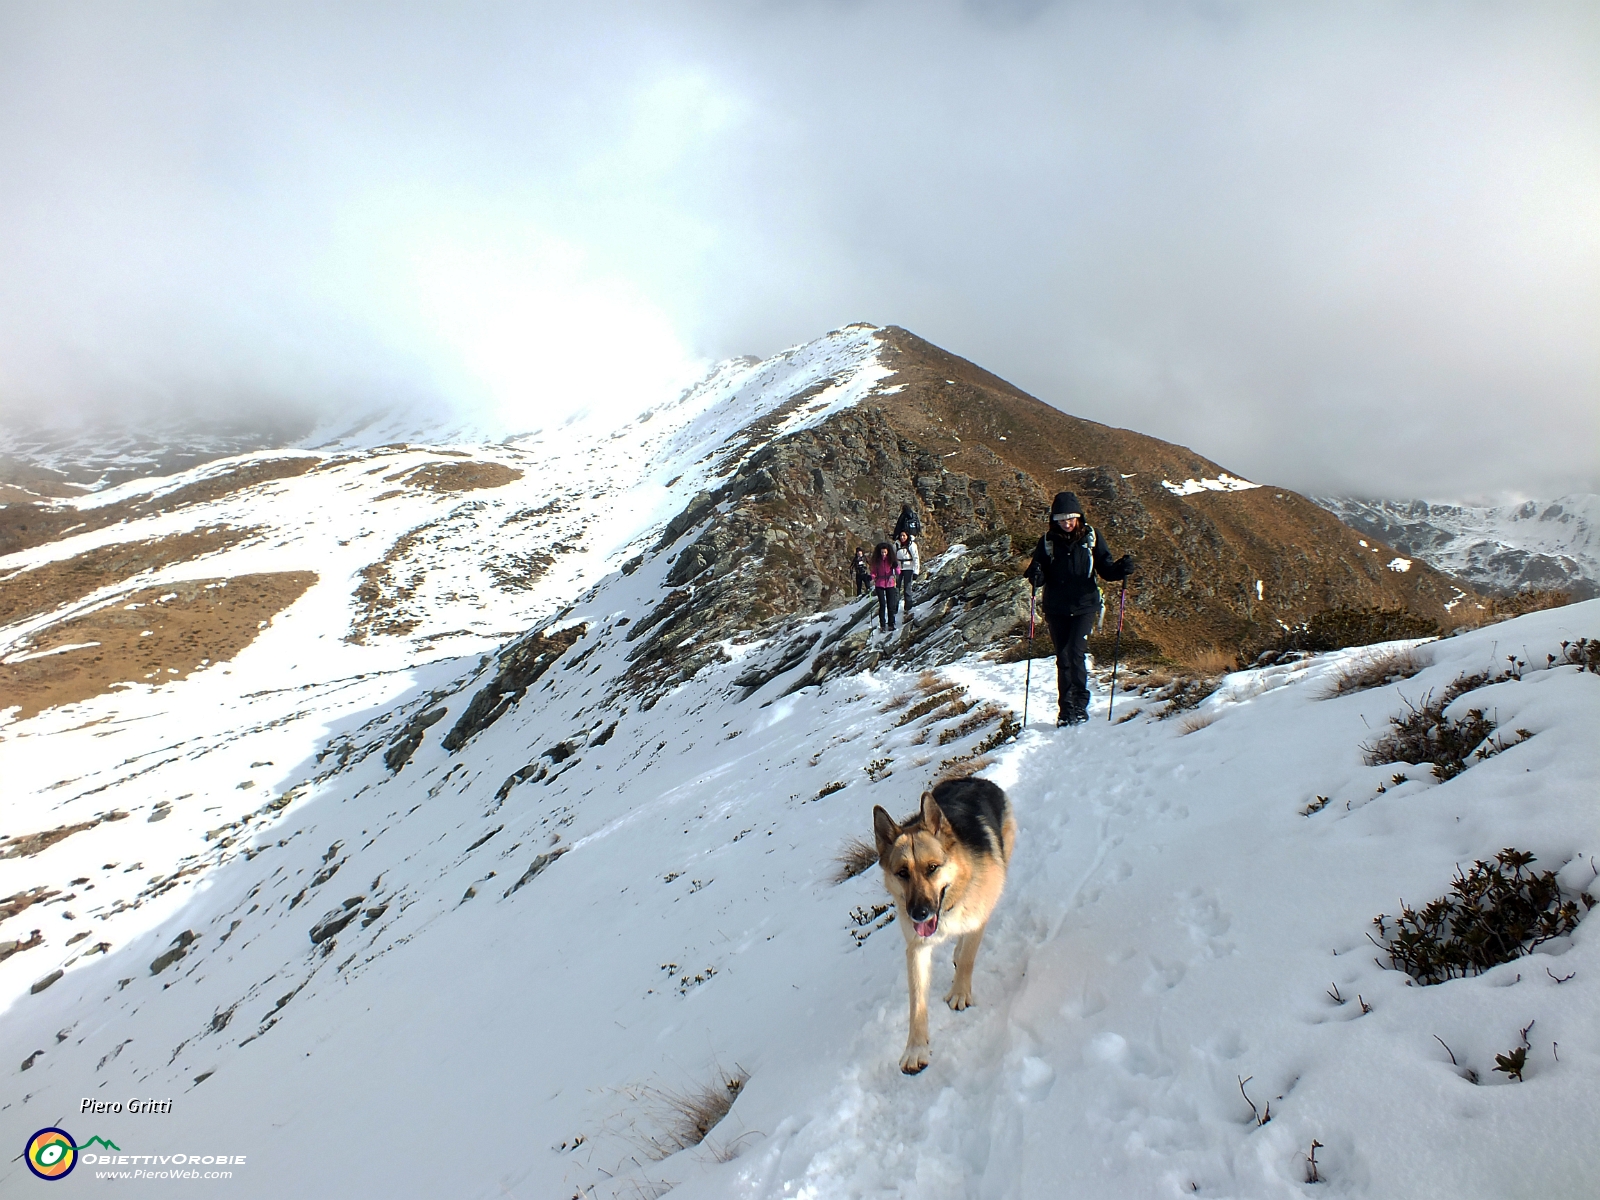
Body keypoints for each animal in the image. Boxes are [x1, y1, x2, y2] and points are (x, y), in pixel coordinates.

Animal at [876, 780, 1011, 1081]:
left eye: (932, 868)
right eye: (902, 873)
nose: (919, 913)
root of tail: (973, 780)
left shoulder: (976, 919)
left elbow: (969, 958)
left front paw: (960, 992)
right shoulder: (917, 949)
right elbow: (917, 1003)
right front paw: (915, 1049)